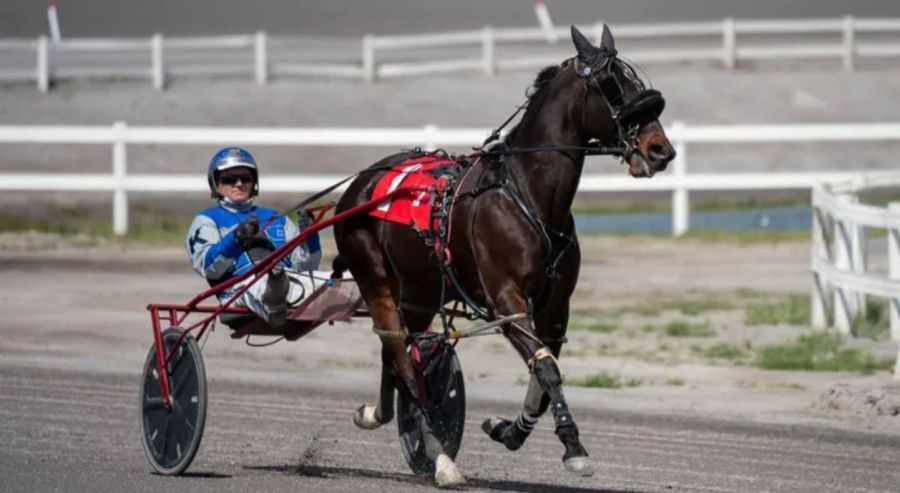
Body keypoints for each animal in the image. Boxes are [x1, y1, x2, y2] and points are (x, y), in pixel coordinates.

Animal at [332, 24, 675, 487]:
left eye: (638, 83)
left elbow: (544, 376)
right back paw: (440, 457)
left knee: (398, 353)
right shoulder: (506, 301)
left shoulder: (556, 306)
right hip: (377, 281)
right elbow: (547, 369)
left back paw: (381, 415)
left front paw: (509, 431)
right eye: (612, 85)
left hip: (421, 292)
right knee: (401, 357)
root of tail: (362, 183)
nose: (661, 150)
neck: (528, 195)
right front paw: (574, 448)